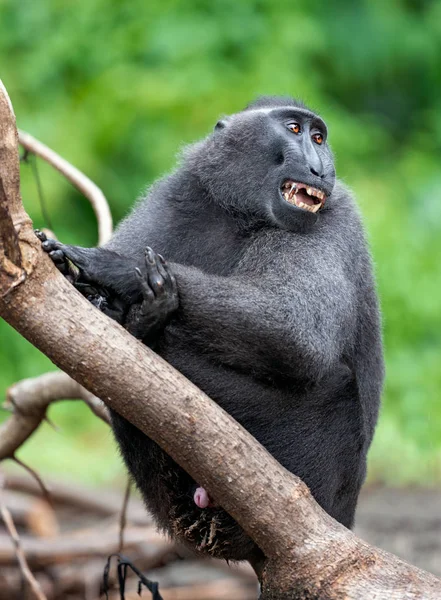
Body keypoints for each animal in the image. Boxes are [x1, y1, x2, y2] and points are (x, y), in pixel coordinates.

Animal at [37, 97, 384, 564]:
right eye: (295, 129)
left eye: (318, 137)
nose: (320, 167)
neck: (239, 212)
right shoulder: (176, 195)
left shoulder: (334, 218)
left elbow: (295, 334)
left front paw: (114, 270)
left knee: (336, 385)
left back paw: (140, 324)